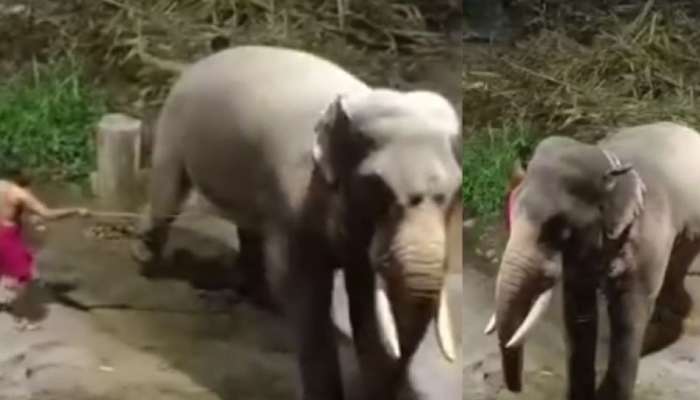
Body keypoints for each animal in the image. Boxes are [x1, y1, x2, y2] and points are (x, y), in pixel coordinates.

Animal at [130, 45, 462, 400]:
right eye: (377, 187)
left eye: (455, 191)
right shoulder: (293, 199)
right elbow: (302, 286)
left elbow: (362, 293)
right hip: (173, 127)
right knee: (168, 194)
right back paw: (148, 264)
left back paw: (258, 297)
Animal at [484, 121, 700, 400]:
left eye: (560, 230)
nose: (516, 389)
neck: (609, 160)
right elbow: (577, 309)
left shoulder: (648, 232)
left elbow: (629, 309)